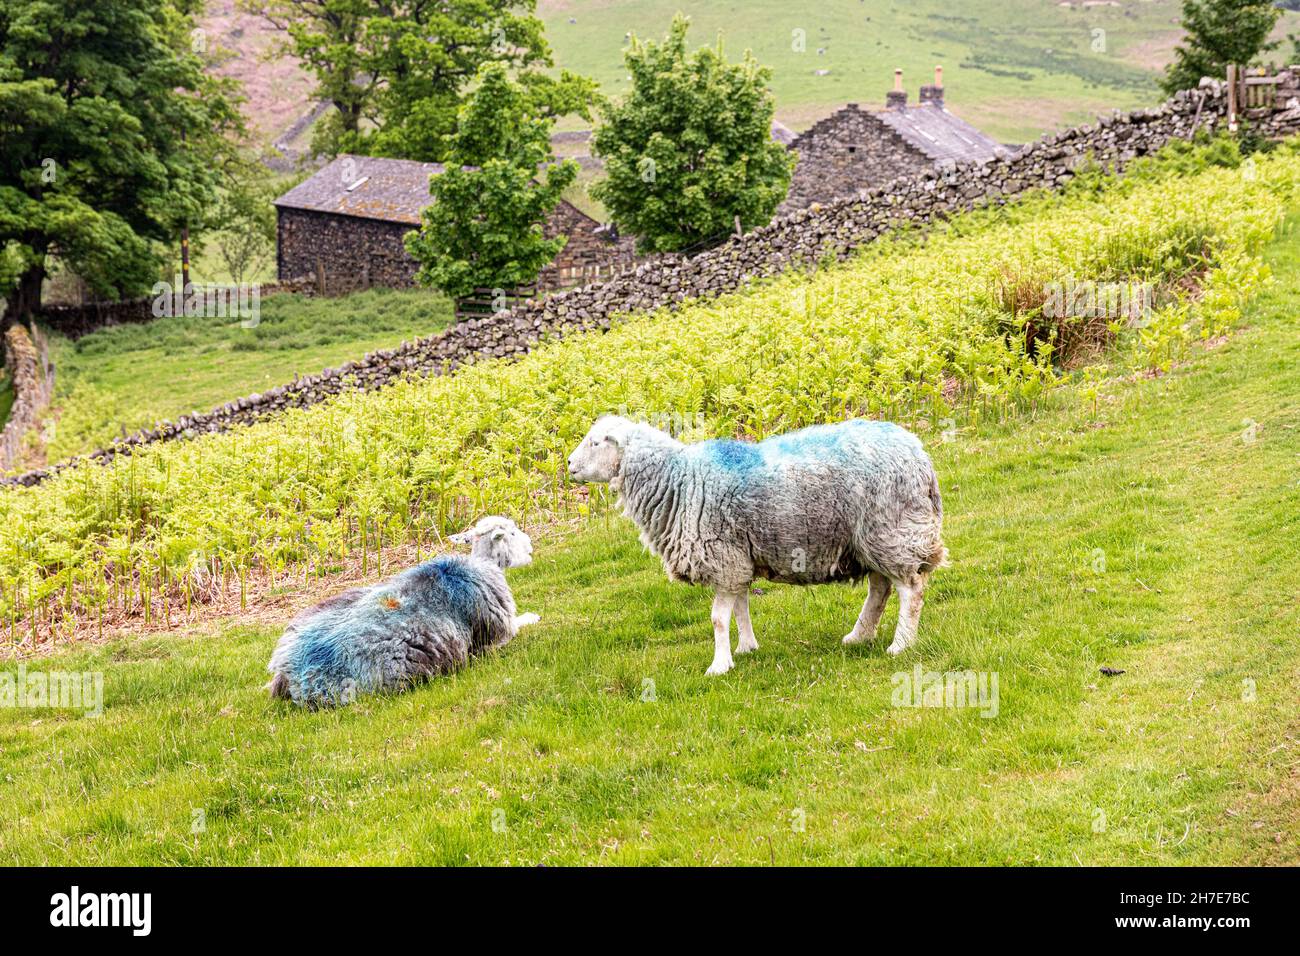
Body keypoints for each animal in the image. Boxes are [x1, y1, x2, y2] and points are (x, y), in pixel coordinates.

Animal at [266, 520, 540, 707]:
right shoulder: (499, 633)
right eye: (512, 533)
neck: (482, 566)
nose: (531, 547)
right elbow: (519, 624)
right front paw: (533, 617)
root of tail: (288, 668)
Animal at [566, 416, 946, 671]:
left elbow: (719, 618)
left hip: (891, 529)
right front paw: (747, 647)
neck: (680, 480)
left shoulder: (722, 556)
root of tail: (919, 454)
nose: (568, 464)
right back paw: (860, 635)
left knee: (910, 589)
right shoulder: (736, 558)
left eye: (596, 442)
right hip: (869, 538)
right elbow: (740, 608)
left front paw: (719, 665)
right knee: (880, 588)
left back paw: (900, 644)